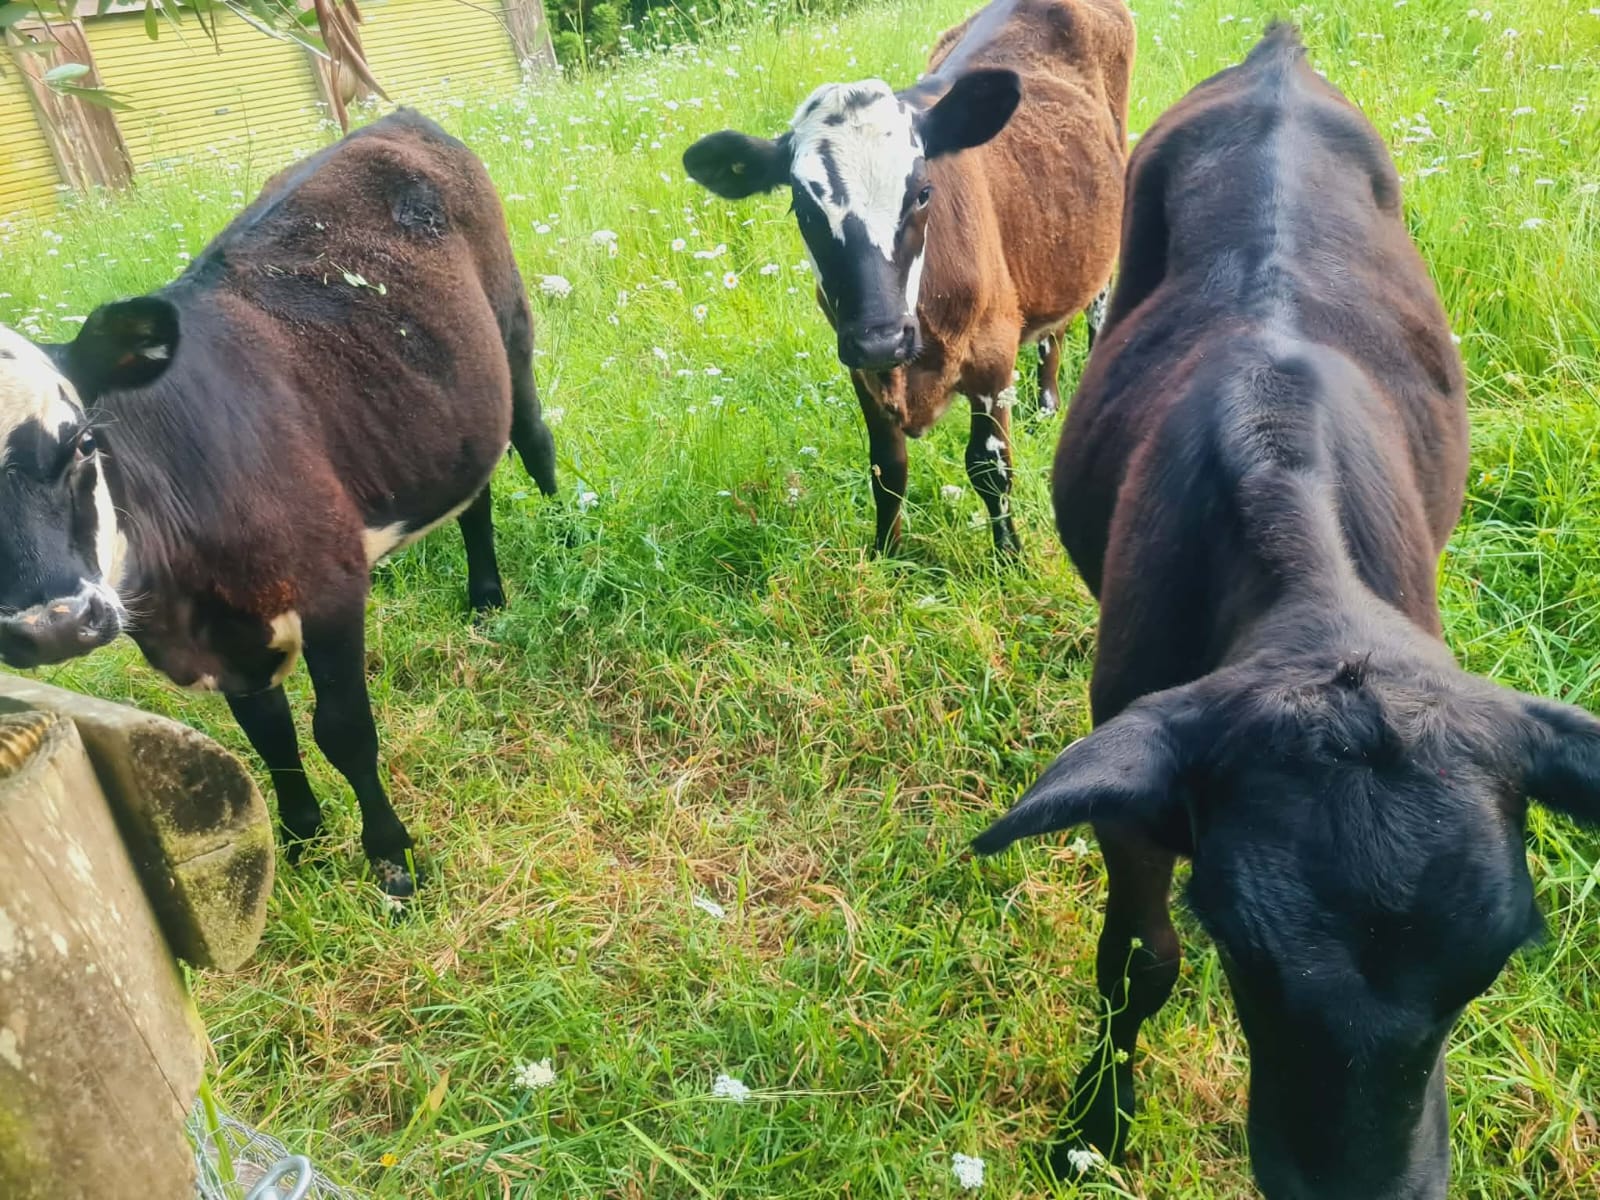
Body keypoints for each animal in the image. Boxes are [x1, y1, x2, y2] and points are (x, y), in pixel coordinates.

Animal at [0, 109, 559, 900]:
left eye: (82, 441)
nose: (49, 626)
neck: (183, 601)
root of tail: (393, 119)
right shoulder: (226, 640)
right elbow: (270, 735)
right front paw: (300, 842)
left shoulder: (330, 589)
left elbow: (344, 731)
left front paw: (393, 862)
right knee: (473, 495)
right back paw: (484, 596)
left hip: (512, 335)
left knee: (533, 442)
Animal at [682, 0, 1133, 554]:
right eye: (803, 209)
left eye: (922, 193)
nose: (881, 338)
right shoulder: (859, 366)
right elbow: (887, 469)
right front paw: (886, 556)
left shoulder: (992, 354)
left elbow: (991, 467)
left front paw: (1009, 557)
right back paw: (1046, 405)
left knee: (1096, 306)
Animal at [973, 27, 1600, 1200]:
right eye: (1242, 950)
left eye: (1491, 961)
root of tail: (1276, 53)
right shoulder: (1134, 791)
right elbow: (1138, 963)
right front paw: (1093, 1130)